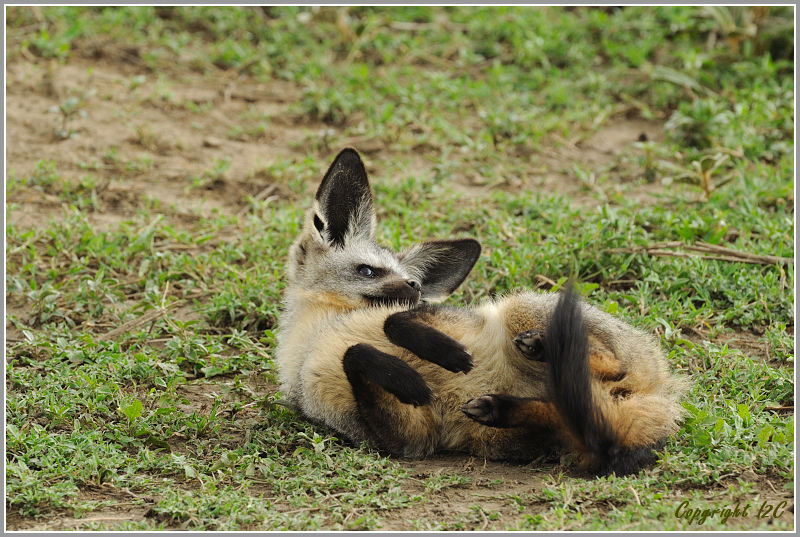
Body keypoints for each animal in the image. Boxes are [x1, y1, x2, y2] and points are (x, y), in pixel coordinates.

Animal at [276, 147, 688, 474]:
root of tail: (663, 391)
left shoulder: (457, 318)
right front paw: (407, 377)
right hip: (524, 435)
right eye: (368, 271)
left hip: (519, 308)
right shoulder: (405, 435)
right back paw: (501, 406)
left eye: (411, 279)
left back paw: (543, 347)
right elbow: (356, 354)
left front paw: (444, 354)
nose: (416, 287)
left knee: (609, 367)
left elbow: (393, 322)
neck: (325, 330)